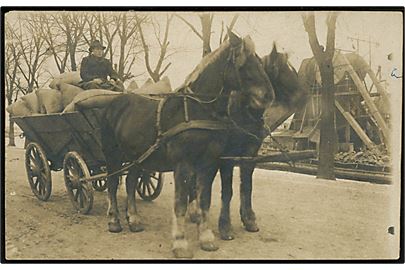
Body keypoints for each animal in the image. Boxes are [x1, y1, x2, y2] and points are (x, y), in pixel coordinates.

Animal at [100, 31, 274, 258]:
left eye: (260, 62)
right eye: (243, 64)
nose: (269, 96)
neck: (197, 109)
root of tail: (115, 102)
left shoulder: (209, 164)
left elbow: (204, 200)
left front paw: (207, 238)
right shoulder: (183, 165)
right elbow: (181, 203)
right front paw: (180, 243)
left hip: (137, 157)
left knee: (130, 182)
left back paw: (135, 220)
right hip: (113, 155)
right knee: (112, 184)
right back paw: (114, 220)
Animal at [216, 43, 304, 239]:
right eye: (283, 69)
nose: (305, 94)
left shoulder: (251, 152)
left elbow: (247, 185)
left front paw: (249, 219)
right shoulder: (227, 155)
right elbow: (227, 190)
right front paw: (225, 226)